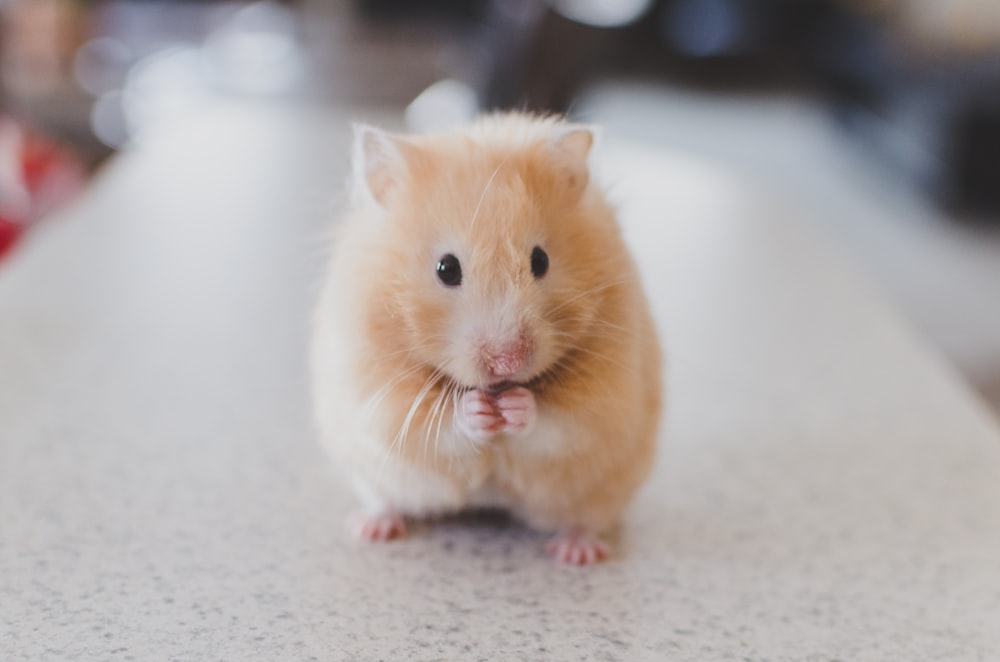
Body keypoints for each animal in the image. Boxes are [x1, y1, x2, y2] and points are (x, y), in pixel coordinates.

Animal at [308, 113, 660, 564]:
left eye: (540, 260)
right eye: (446, 268)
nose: (508, 362)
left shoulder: (607, 398)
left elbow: (561, 422)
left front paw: (515, 407)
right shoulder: (377, 393)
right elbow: (435, 425)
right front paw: (478, 410)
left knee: (583, 518)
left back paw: (577, 553)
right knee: (387, 500)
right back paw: (371, 528)